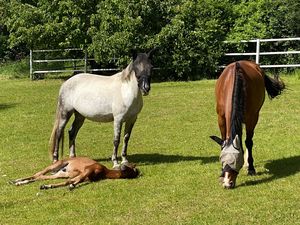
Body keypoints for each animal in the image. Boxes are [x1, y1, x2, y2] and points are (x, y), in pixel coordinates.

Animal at [9, 156, 139, 190]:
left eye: (132, 172)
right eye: (130, 166)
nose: (122, 166)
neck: (104, 172)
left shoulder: (85, 176)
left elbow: (70, 181)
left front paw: (46, 186)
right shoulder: (87, 170)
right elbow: (72, 181)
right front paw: (72, 186)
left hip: (60, 173)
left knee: (40, 176)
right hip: (55, 165)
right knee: (38, 173)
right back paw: (15, 181)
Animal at [210, 59, 284, 188]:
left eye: (235, 161)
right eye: (222, 160)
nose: (228, 183)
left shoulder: (252, 118)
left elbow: (248, 142)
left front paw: (251, 168)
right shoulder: (221, 117)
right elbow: (223, 140)